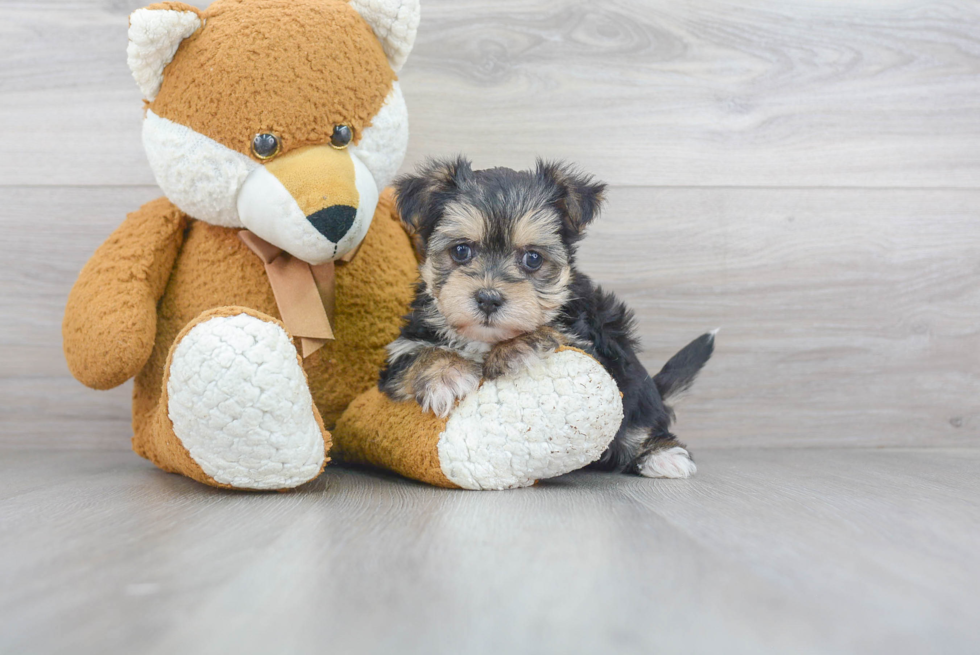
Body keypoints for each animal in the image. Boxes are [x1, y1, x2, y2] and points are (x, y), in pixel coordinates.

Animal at [378, 157, 716, 480]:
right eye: (461, 250)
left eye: (533, 258)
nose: (488, 298)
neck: (484, 338)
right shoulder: (401, 351)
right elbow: (417, 355)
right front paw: (448, 374)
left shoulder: (595, 347)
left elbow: (553, 333)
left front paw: (514, 349)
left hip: (635, 389)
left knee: (638, 423)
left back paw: (662, 454)